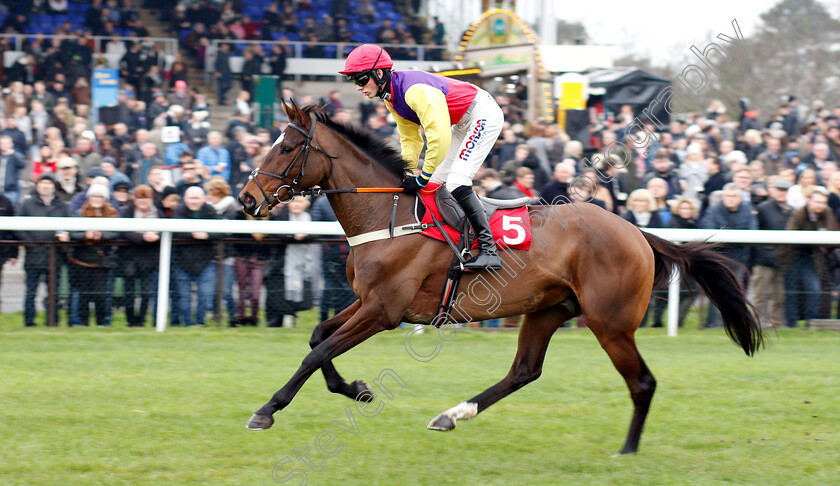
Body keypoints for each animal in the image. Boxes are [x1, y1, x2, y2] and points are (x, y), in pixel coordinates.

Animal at [236, 102, 760, 456]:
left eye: (287, 147)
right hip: (548, 309)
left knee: (643, 382)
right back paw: (452, 415)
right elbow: (317, 336)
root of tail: (636, 231)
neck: (388, 216)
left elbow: (318, 350)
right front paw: (357, 389)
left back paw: (627, 449)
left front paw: (266, 410)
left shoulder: (384, 310)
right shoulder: (366, 301)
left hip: (609, 322)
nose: (246, 199)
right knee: (524, 371)